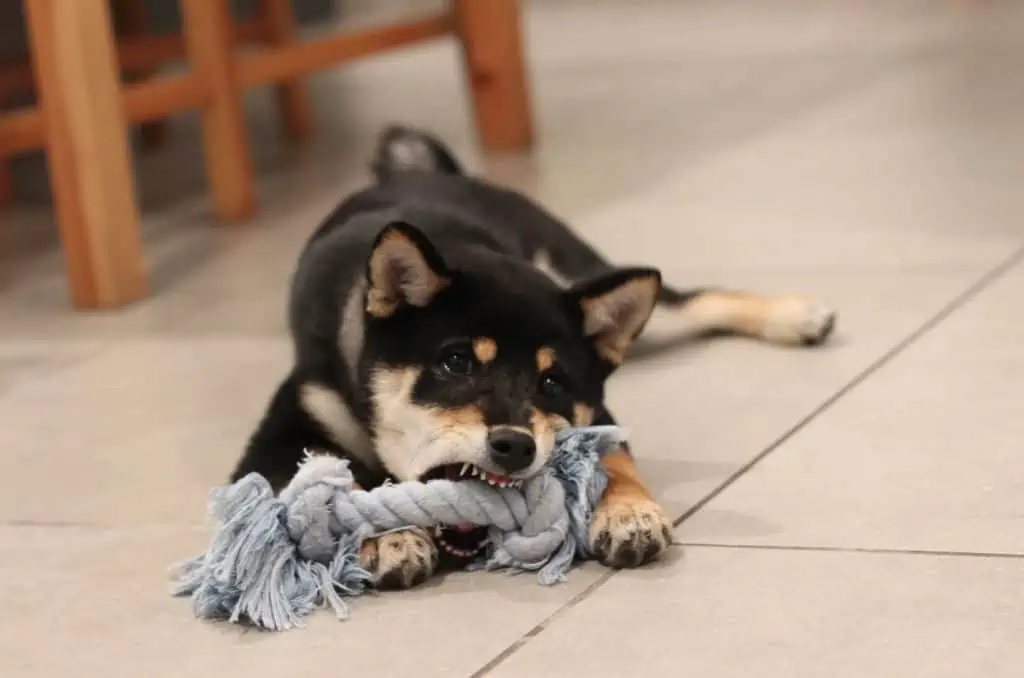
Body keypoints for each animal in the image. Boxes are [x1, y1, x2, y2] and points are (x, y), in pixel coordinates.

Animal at [234, 125, 839, 589]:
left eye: (552, 382)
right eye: (456, 363)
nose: (515, 445)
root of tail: (430, 173)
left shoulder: (597, 412)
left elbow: (613, 461)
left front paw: (629, 512)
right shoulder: (279, 439)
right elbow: (334, 486)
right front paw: (388, 535)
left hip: (578, 270)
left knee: (697, 300)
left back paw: (797, 315)